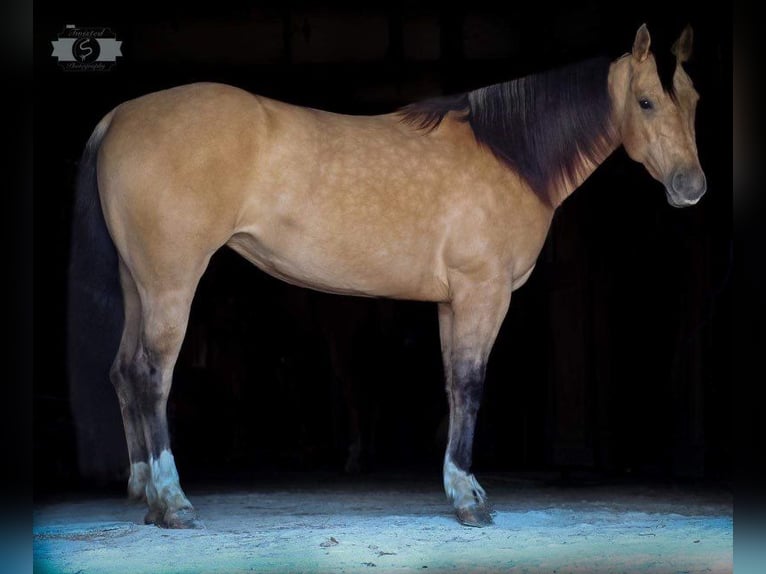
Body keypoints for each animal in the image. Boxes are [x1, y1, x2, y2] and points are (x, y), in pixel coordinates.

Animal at [70, 23, 708, 532]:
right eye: (646, 102)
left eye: (695, 100)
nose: (691, 187)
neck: (508, 155)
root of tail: (118, 116)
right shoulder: (482, 293)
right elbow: (471, 385)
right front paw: (469, 500)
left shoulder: (453, 301)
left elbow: (453, 386)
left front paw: (460, 486)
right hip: (171, 283)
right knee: (152, 376)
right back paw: (172, 501)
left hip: (138, 284)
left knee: (123, 372)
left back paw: (144, 493)